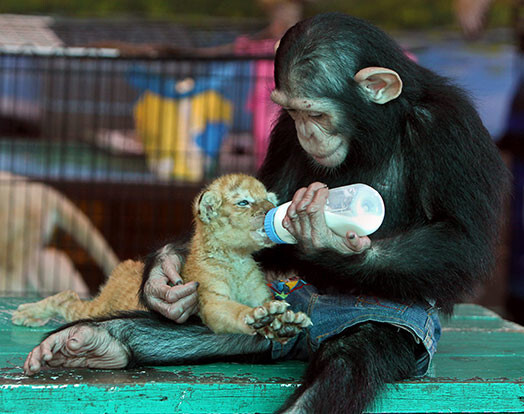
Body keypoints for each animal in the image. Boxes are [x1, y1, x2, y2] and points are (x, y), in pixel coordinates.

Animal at [23, 12, 508, 414]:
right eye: (292, 112)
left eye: (317, 113)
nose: (307, 133)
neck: (380, 126)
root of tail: (306, 336)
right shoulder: (281, 139)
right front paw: (163, 277)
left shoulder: (451, 131)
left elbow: (459, 240)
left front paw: (325, 239)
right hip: (275, 302)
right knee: (194, 330)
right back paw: (94, 341)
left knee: (349, 361)